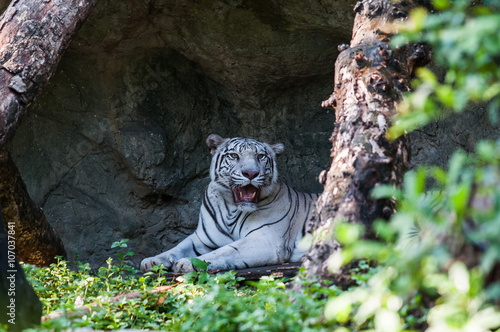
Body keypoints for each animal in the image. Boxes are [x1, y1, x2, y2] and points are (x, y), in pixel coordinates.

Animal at [140, 134, 320, 274]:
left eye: (260, 156)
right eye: (234, 156)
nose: (251, 173)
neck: (231, 209)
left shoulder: (266, 240)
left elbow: (225, 251)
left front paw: (188, 262)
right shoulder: (201, 238)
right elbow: (177, 247)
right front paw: (152, 261)